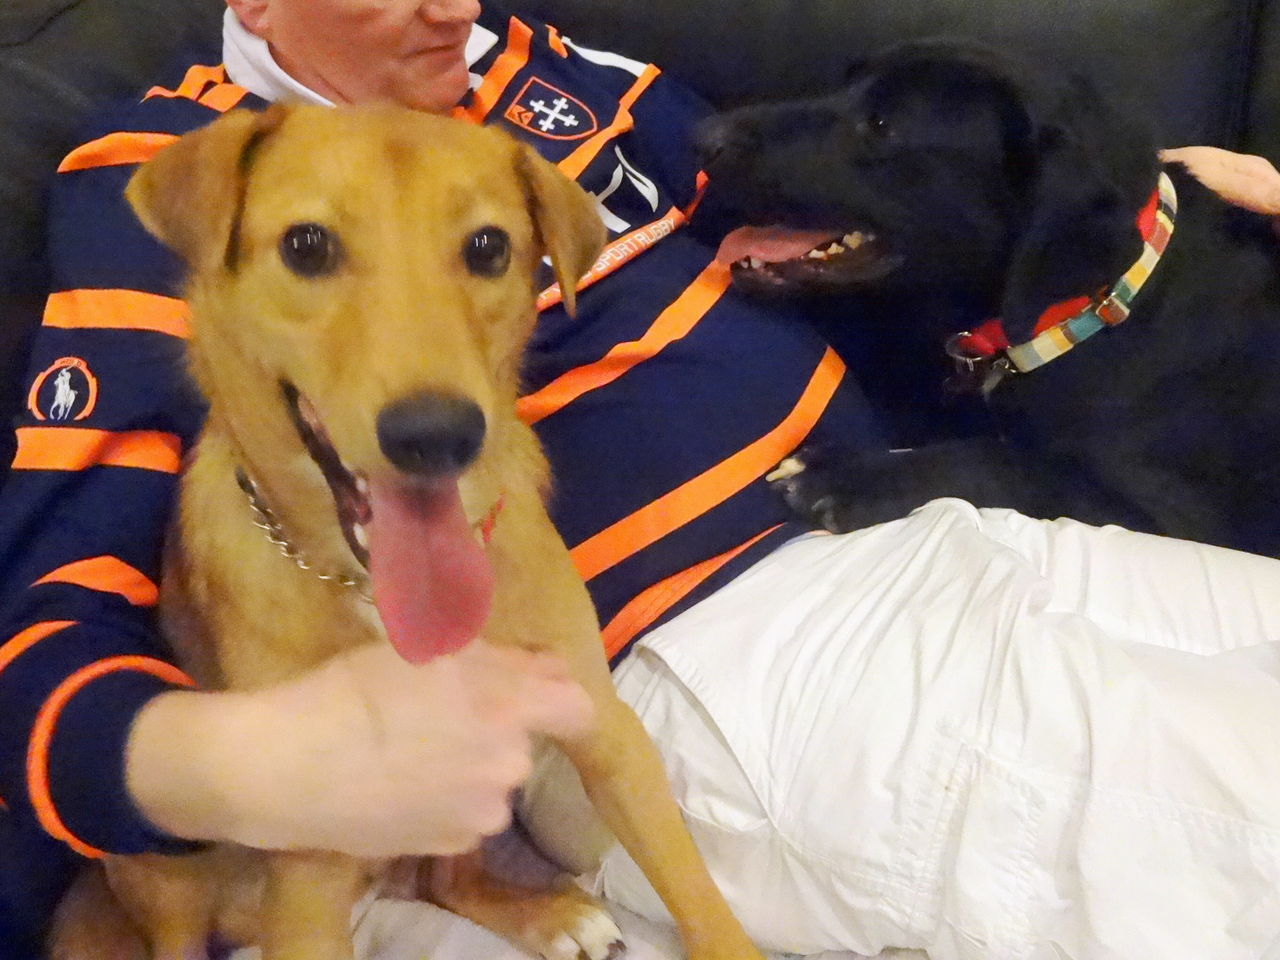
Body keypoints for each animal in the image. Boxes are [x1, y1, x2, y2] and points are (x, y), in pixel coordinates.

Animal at [48, 103, 763, 960]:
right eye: (307, 245)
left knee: (443, 880)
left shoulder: (604, 729)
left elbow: (698, 896)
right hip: (169, 875)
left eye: (489, 247)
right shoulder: (313, 866)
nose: (437, 435)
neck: (369, 589)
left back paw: (549, 915)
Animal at [694, 39, 1280, 556]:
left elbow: (1007, 464)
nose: (700, 136)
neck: (1086, 313)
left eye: (882, 125)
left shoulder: (1167, 516)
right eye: (842, 83)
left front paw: (848, 476)